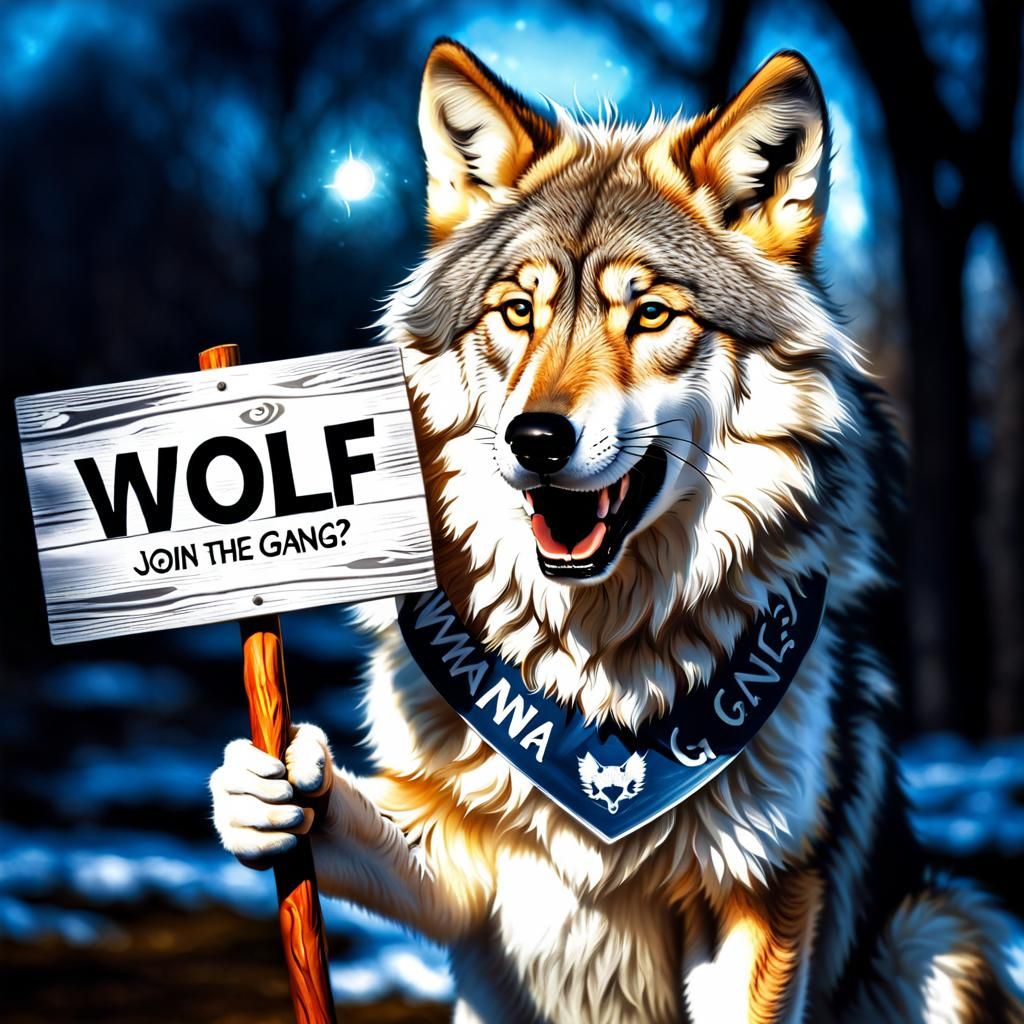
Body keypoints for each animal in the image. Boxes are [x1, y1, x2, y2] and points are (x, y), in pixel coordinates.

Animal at [210, 41, 1023, 1023]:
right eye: (518, 312)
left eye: (651, 315)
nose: (536, 438)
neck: (602, 676)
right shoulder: (468, 858)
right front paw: (268, 785)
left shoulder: (761, 893)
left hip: (940, 933)